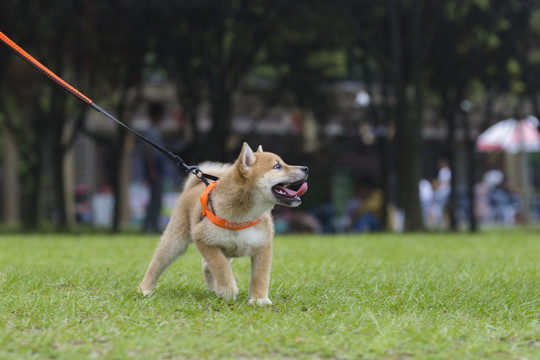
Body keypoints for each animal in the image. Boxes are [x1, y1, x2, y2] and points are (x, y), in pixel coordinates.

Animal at [138, 142, 308, 306]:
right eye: (277, 166)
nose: (306, 168)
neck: (244, 216)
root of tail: (192, 188)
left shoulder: (263, 246)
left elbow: (260, 276)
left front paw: (259, 298)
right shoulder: (202, 238)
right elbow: (221, 266)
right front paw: (228, 290)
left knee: (206, 266)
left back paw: (213, 290)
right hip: (176, 241)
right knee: (157, 263)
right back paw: (144, 289)